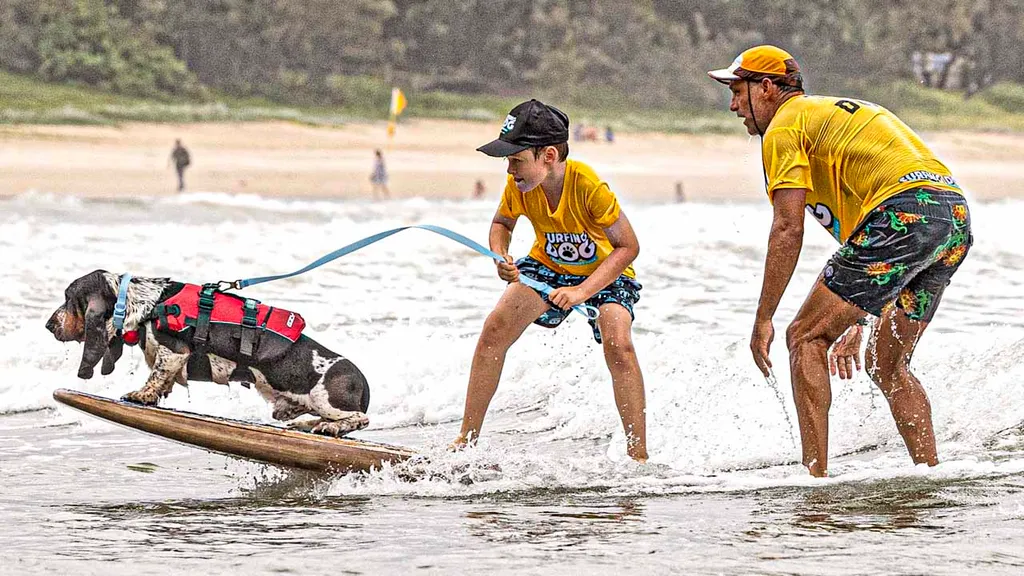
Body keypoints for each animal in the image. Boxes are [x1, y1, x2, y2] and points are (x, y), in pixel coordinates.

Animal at [47, 270, 372, 434]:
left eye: (68, 298)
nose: (49, 325)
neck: (149, 302)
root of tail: (363, 382)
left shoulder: (174, 351)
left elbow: (156, 375)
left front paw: (141, 395)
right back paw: (306, 422)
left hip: (327, 399)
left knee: (359, 419)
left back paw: (328, 427)